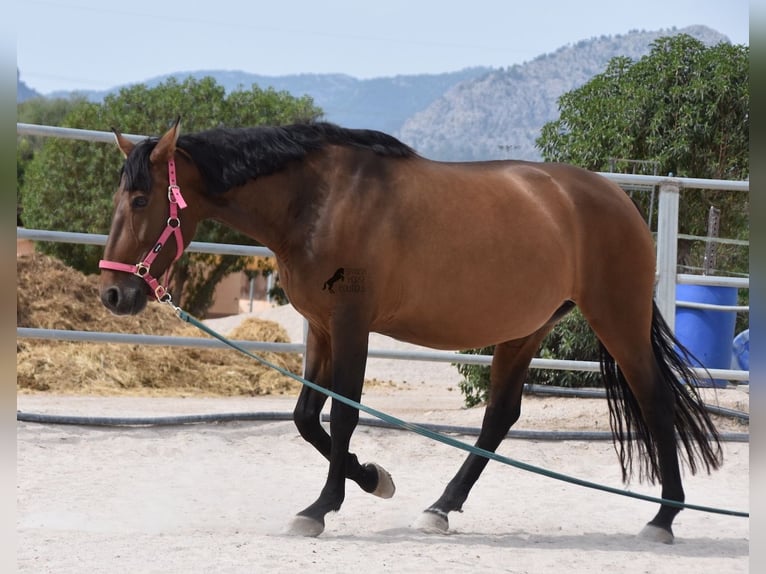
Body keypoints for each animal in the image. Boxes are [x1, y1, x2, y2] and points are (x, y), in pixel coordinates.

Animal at [99, 120, 724, 544]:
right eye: (117, 198)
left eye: (140, 198)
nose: (114, 294)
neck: (319, 201)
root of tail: (617, 199)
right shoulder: (321, 328)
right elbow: (305, 417)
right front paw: (374, 478)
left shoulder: (351, 324)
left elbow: (343, 413)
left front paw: (322, 507)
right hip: (523, 331)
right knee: (500, 417)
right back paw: (441, 507)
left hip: (616, 318)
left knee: (656, 401)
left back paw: (665, 517)